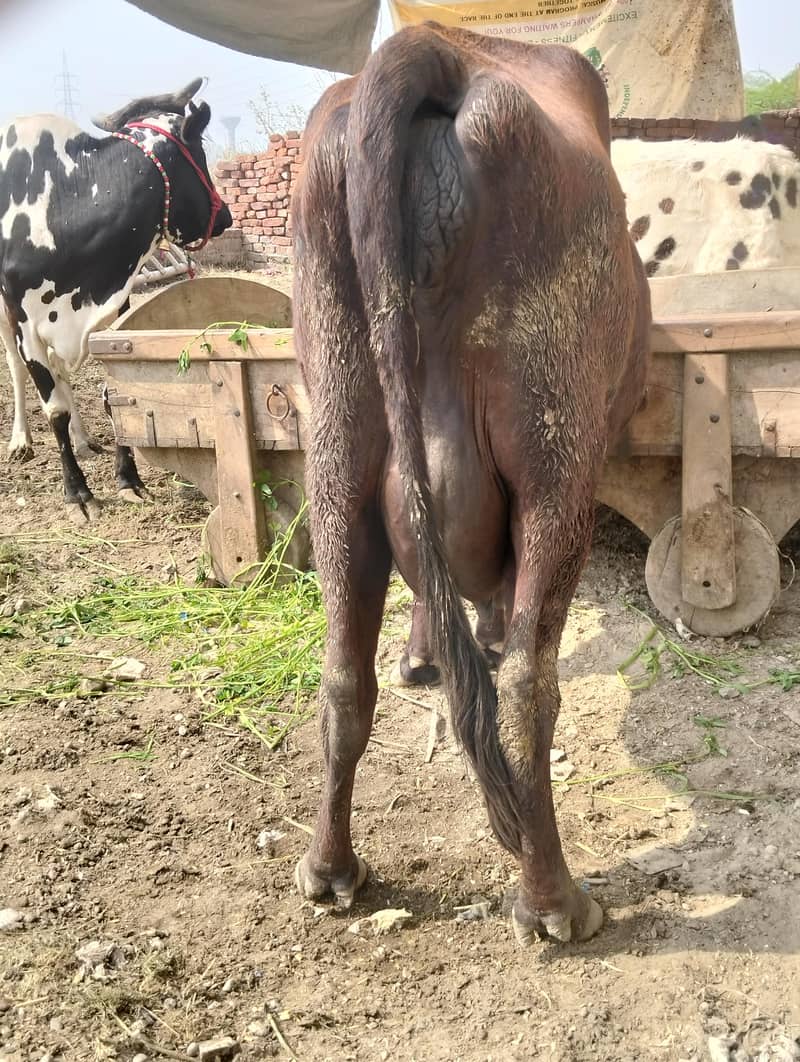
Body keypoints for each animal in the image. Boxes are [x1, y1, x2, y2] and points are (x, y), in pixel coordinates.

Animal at [0, 80, 232, 522]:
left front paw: (128, 479)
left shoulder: (113, 309)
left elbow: (114, 396)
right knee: (18, 370)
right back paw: (22, 439)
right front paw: (78, 493)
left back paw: (83, 439)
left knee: (62, 372)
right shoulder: (26, 326)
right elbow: (53, 408)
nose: (226, 215)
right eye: (199, 151)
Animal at [292, 22, 651, 945]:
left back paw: (331, 868)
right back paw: (555, 901)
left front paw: (428, 653)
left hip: (337, 450)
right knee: (527, 682)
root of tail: (434, 49)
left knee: (343, 675)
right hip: (559, 463)